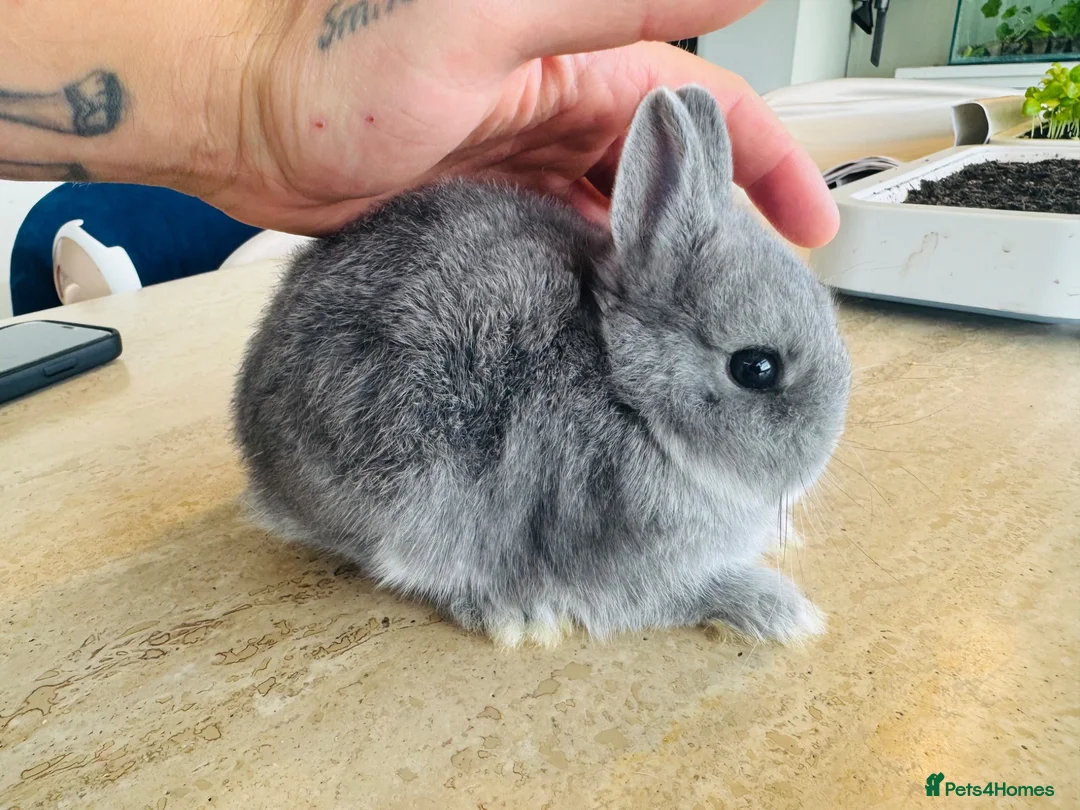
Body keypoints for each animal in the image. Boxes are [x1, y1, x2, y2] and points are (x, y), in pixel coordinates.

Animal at [232, 85, 852, 648]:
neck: (625, 391)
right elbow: (684, 593)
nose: (817, 462)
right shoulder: (619, 556)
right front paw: (780, 610)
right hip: (410, 494)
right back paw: (512, 614)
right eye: (756, 367)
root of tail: (261, 463)